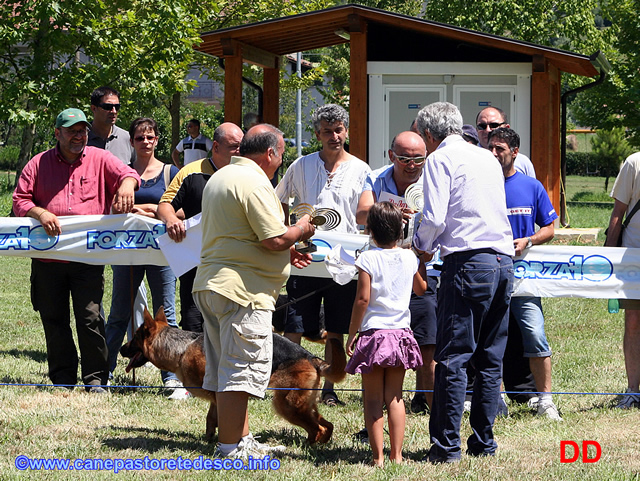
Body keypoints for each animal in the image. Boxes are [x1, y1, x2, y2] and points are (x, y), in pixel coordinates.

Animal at [119, 308, 344, 442]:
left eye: (134, 339)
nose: (121, 349)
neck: (181, 349)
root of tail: (311, 356)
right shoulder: (216, 398)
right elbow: (211, 420)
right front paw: (209, 440)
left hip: (287, 405)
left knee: (316, 428)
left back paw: (309, 446)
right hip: (303, 405)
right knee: (327, 425)